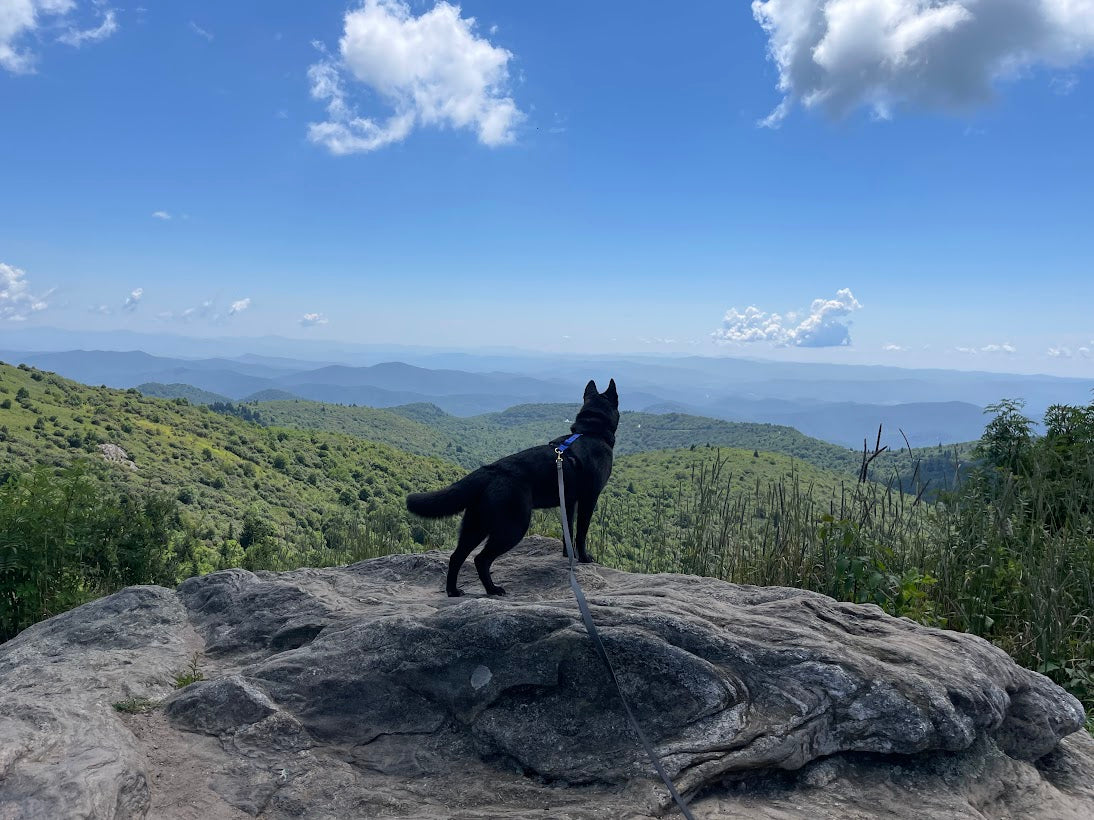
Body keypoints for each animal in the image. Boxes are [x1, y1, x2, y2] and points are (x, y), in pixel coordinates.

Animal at [406, 378, 621, 599]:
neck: (590, 432)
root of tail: (490, 471)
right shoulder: (589, 498)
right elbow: (581, 533)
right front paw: (584, 557)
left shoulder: (568, 501)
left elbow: (567, 530)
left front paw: (567, 554)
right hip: (513, 526)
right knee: (480, 559)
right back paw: (492, 589)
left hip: (476, 525)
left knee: (456, 556)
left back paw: (453, 590)